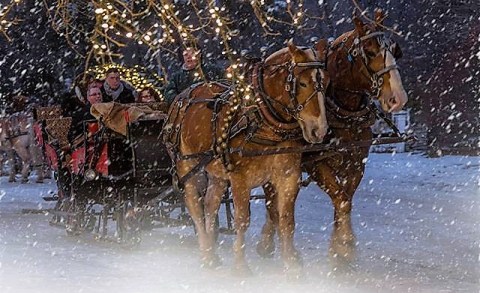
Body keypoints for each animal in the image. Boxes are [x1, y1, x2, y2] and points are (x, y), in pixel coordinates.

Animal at [166, 40, 330, 274]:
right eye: (302, 83)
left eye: (325, 81)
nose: (319, 129)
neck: (261, 119)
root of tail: (183, 95)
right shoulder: (240, 179)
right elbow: (242, 220)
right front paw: (240, 266)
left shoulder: (288, 176)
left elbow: (287, 220)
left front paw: (291, 266)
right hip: (188, 168)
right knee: (195, 207)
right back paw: (206, 252)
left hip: (216, 172)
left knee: (210, 204)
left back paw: (212, 253)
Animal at [256, 9, 410, 270]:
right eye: (370, 51)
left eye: (394, 49)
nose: (398, 98)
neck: (342, 108)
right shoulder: (316, 164)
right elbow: (341, 199)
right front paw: (345, 247)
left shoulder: (356, 162)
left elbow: (344, 200)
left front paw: (339, 251)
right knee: (270, 197)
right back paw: (266, 242)